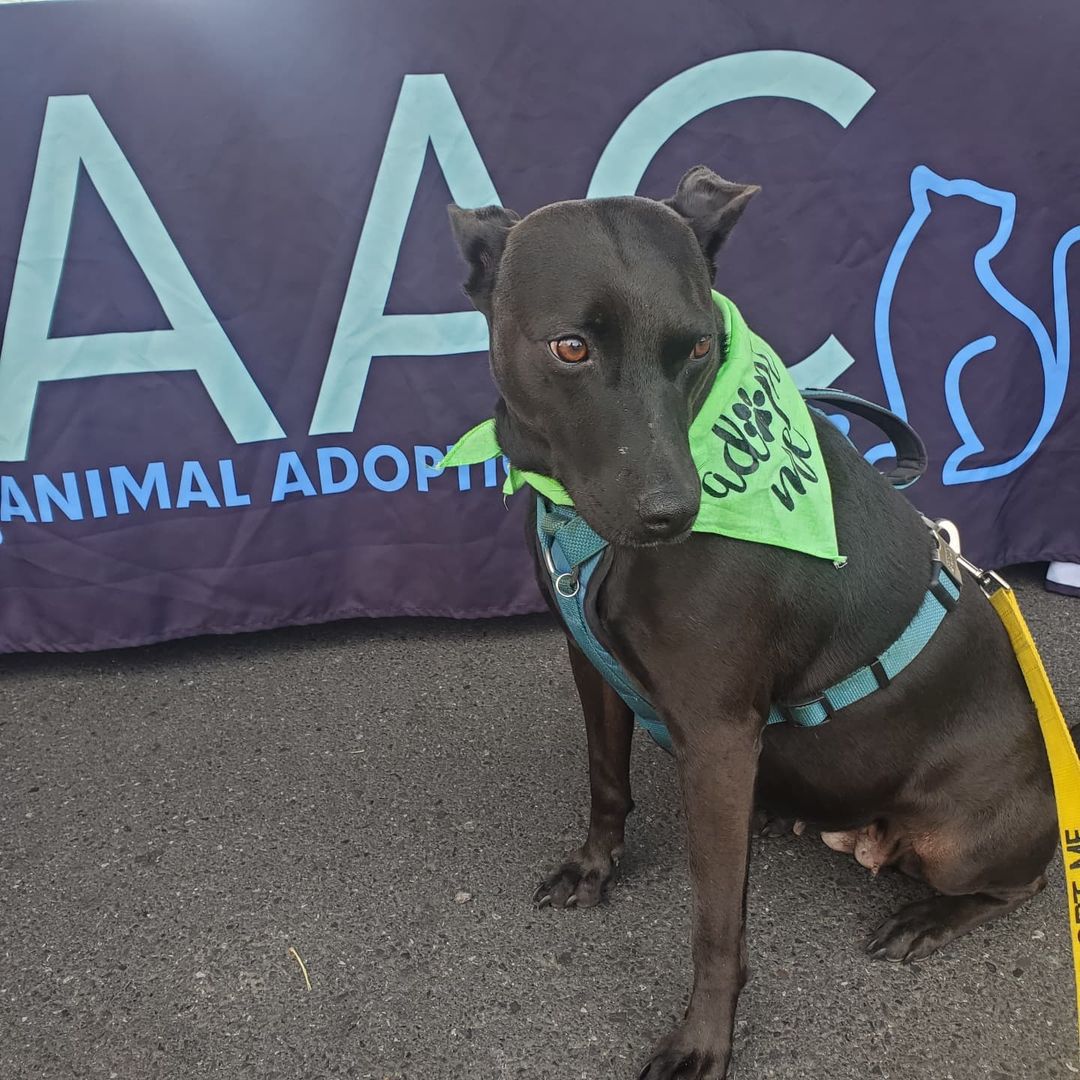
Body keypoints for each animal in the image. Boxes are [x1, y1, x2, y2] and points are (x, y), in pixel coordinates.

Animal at [444, 168, 1054, 1080]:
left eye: (699, 349)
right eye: (571, 348)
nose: (671, 513)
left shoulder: (719, 732)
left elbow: (717, 922)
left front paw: (703, 1041)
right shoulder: (591, 664)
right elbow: (605, 778)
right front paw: (594, 866)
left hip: (959, 842)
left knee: (1025, 883)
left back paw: (926, 919)